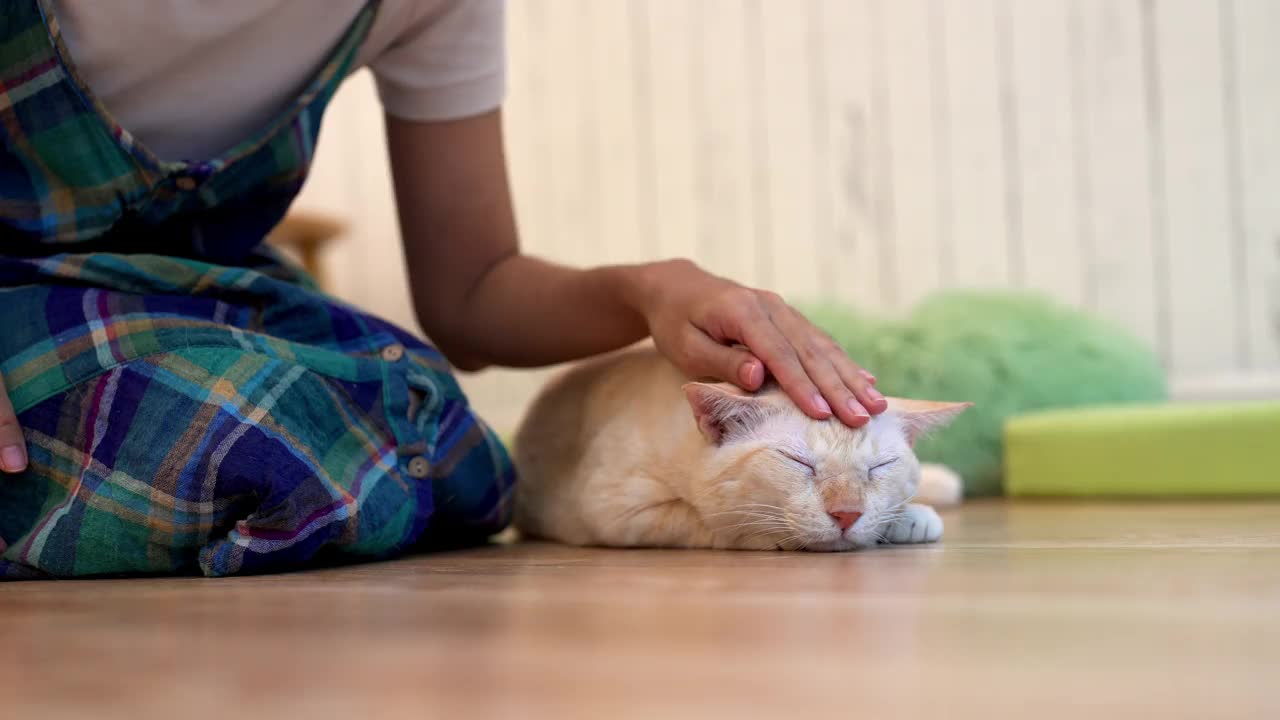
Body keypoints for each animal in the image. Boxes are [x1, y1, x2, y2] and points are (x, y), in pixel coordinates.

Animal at [509, 348, 967, 548]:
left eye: (878, 467)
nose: (846, 514)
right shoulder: (615, 509)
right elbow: (705, 521)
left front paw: (907, 517)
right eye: (799, 463)